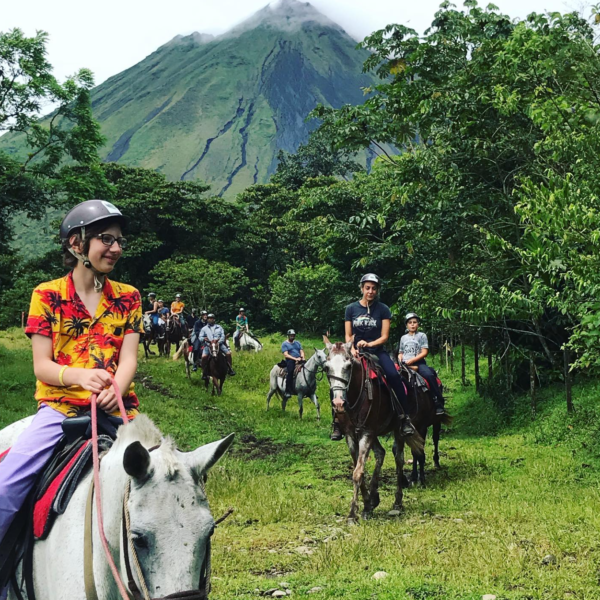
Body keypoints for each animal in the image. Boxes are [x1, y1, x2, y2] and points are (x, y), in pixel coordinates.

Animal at [326, 336, 424, 524]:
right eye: (326, 367)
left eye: (348, 366)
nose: (338, 403)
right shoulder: (351, 436)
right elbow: (358, 469)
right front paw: (366, 505)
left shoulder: (366, 433)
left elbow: (358, 472)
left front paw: (353, 514)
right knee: (381, 453)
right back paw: (373, 498)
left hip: (396, 430)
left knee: (398, 458)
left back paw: (397, 503)